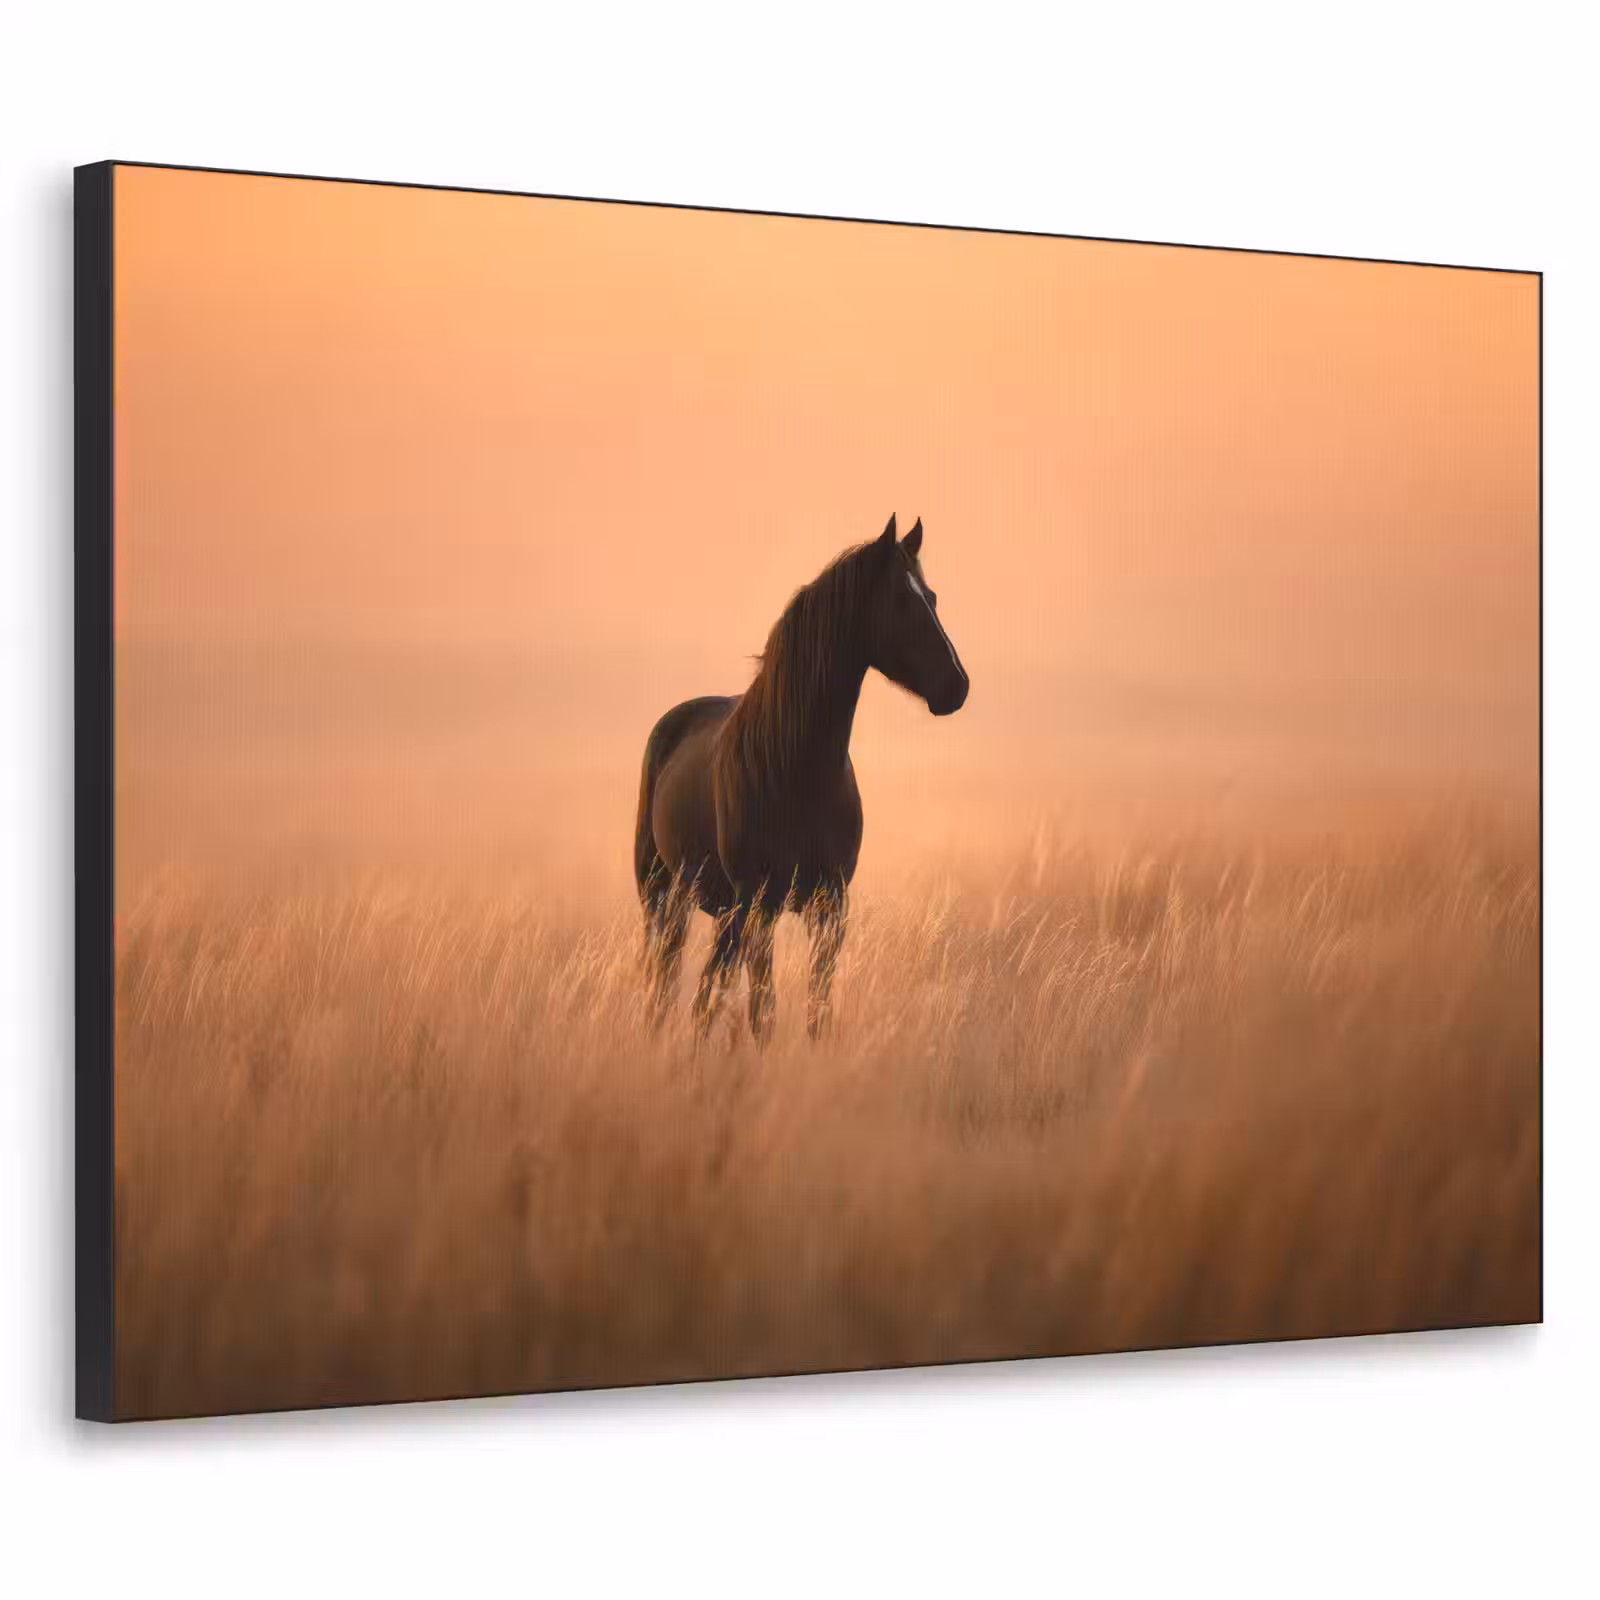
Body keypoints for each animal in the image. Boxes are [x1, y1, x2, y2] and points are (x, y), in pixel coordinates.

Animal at [633, 513, 969, 1045]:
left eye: (931, 597)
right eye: (900, 600)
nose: (957, 685)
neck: (796, 769)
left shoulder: (829, 906)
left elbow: (817, 1011)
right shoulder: (761, 906)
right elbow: (763, 1013)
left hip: (723, 912)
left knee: (705, 994)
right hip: (665, 896)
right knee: (668, 986)